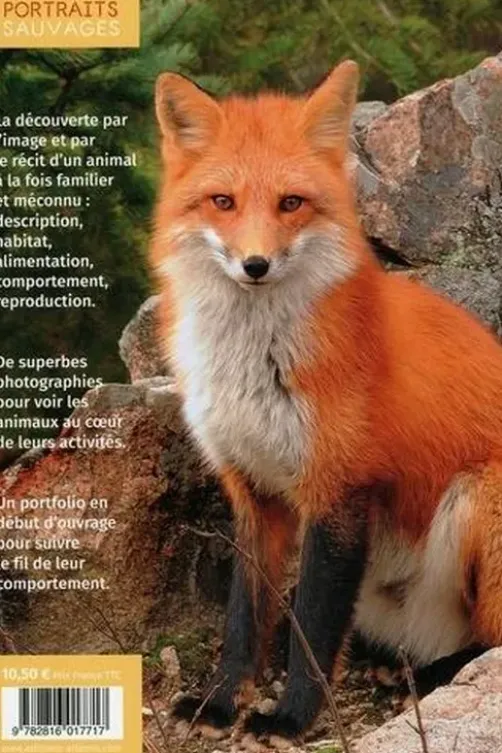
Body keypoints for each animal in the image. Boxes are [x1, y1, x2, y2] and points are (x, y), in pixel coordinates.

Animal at [149, 60, 502, 743]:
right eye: (223, 202)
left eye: (291, 203)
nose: (255, 265)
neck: (255, 365)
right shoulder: (251, 490)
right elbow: (244, 619)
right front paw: (219, 703)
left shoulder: (339, 488)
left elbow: (313, 623)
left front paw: (290, 719)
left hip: (479, 495)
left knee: (493, 640)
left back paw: (433, 675)